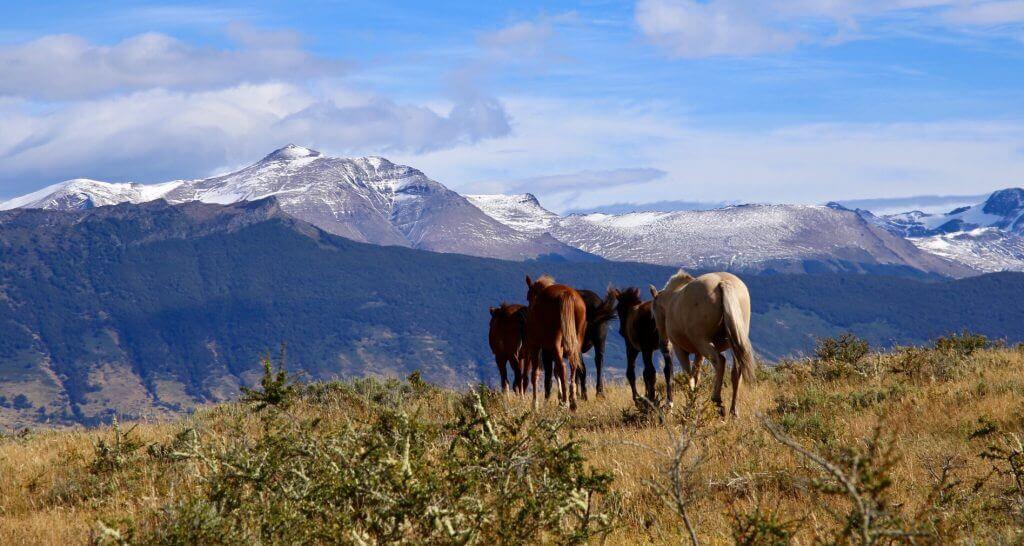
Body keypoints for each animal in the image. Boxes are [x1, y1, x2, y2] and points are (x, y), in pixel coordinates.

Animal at [524, 272, 589, 409]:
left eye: (528, 296)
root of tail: (566, 293)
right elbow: (555, 372)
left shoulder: (537, 347)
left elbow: (536, 374)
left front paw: (535, 404)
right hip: (576, 341)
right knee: (573, 364)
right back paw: (572, 400)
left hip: (555, 343)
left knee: (562, 367)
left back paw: (565, 402)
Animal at [651, 268, 757, 417]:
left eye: (654, 312)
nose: (663, 345)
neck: (673, 299)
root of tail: (722, 283)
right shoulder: (698, 354)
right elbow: (696, 376)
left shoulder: (680, 350)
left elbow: (689, 376)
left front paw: (690, 406)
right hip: (734, 341)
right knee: (736, 371)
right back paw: (733, 411)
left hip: (703, 343)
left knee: (720, 361)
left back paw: (717, 401)